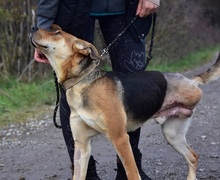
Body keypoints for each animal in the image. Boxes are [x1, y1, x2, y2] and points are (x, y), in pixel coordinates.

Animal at [29, 24, 220, 180]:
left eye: (57, 33)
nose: (32, 28)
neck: (83, 81)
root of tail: (191, 81)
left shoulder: (120, 138)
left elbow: (133, 173)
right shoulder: (82, 146)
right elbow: (78, 174)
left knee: (192, 156)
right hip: (172, 134)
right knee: (193, 157)